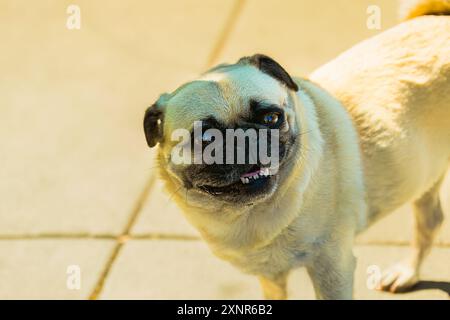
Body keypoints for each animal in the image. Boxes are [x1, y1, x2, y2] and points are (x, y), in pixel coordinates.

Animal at [143, 4, 450, 300]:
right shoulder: (270, 274)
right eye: (206, 138)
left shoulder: (333, 268)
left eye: (271, 118)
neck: (249, 215)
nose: (245, 138)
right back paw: (407, 273)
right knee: (430, 221)